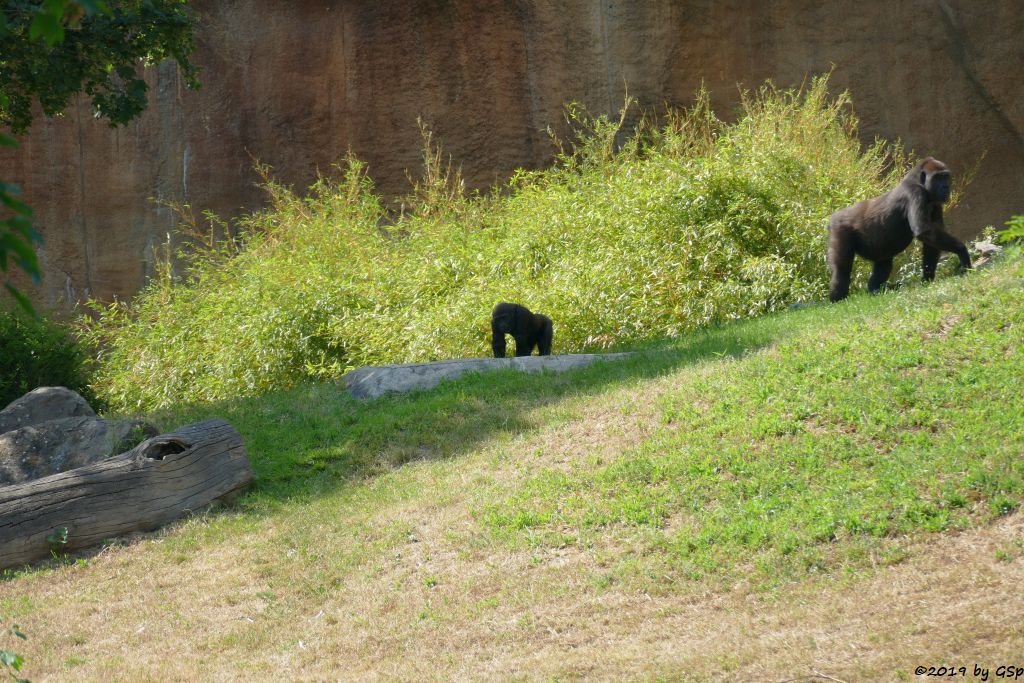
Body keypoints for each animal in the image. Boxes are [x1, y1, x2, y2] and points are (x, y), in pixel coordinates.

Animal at [827, 158, 970, 303]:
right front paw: (962, 251)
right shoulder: (915, 193)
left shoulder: (935, 202)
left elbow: (931, 241)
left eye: (945, 177)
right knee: (842, 270)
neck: (918, 180)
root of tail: (834, 216)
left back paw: (875, 289)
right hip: (839, 228)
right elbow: (924, 231)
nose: (946, 187)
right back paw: (837, 299)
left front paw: (927, 279)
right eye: (938, 178)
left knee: (884, 263)